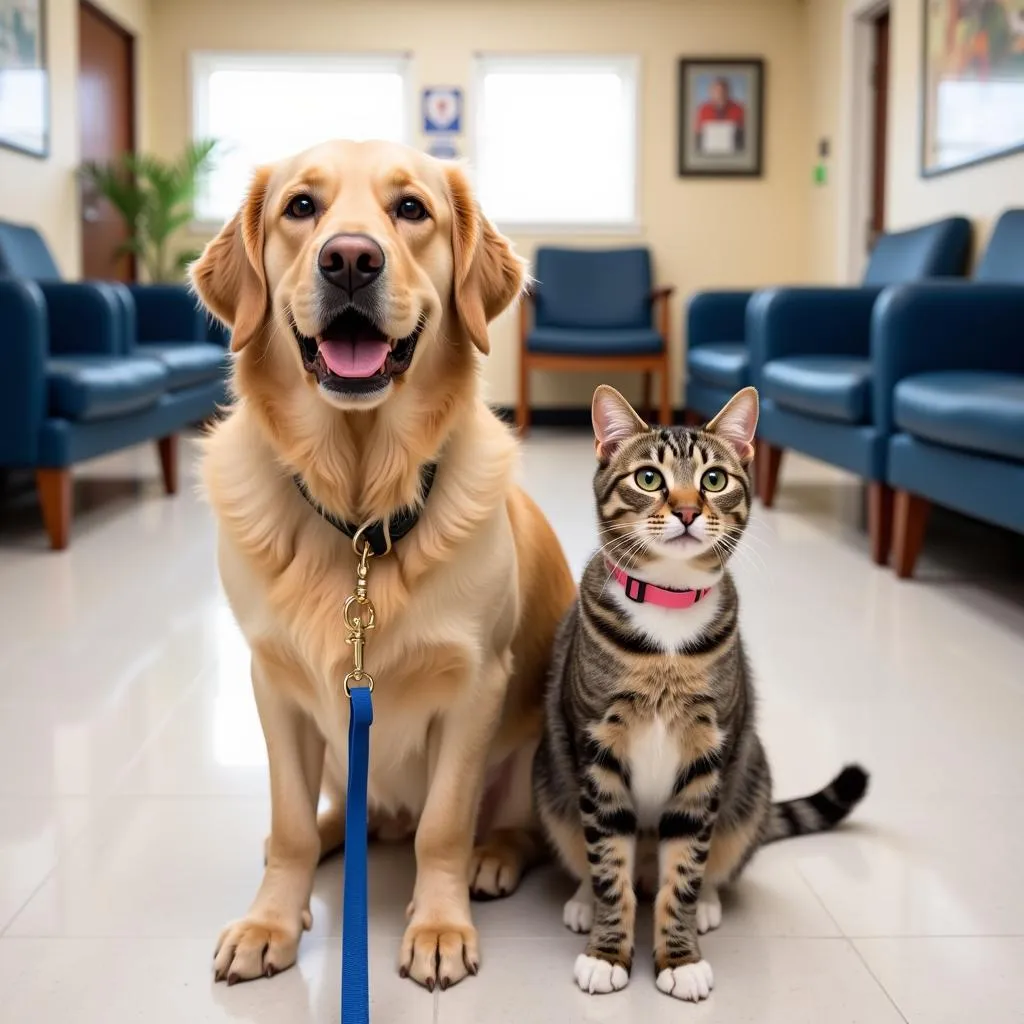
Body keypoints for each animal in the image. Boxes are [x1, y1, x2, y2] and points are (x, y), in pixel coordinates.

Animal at [190, 142, 577, 991]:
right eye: (301, 208)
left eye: (411, 210)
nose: (349, 259)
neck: (360, 516)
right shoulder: (273, 681)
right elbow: (290, 822)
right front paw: (271, 921)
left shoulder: (475, 686)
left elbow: (443, 826)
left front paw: (437, 928)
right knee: (340, 816)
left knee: (498, 828)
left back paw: (492, 860)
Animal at [532, 382, 868, 999]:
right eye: (648, 478)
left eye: (714, 479)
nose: (688, 510)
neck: (667, 613)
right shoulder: (598, 752)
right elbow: (608, 864)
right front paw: (608, 952)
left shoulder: (706, 757)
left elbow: (685, 868)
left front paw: (680, 956)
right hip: (549, 776)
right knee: (595, 856)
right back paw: (584, 901)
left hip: (750, 774)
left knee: (708, 861)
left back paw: (708, 904)